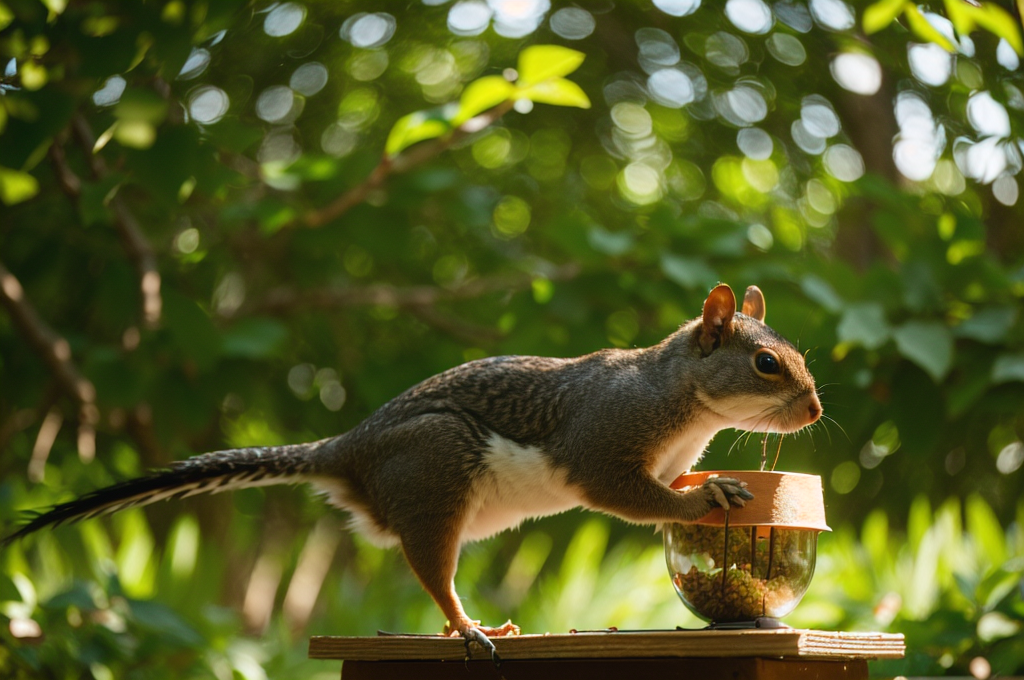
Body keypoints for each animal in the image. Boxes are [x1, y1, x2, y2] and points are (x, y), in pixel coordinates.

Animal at [0, 280, 815, 659]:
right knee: (431, 570)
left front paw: (699, 484)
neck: (682, 399)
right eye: (765, 364)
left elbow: (662, 486)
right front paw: (704, 500)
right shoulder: (603, 440)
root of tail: (347, 451)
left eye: (793, 355)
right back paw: (468, 629)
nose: (812, 410)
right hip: (437, 473)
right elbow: (624, 494)